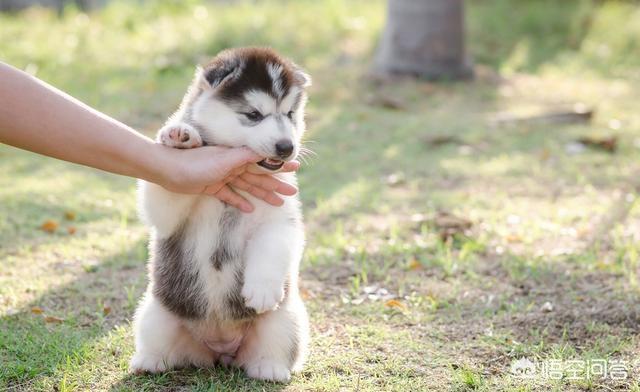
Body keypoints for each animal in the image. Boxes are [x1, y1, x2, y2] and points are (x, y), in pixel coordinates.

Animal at [130, 47, 310, 382]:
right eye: (254, 115)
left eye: (290, 114)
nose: (286, 147)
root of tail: (221, 348)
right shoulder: (169, 215)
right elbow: (165, 198)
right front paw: (181, 137)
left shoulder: (280, 217)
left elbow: (272, 245)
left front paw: (261, 289)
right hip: (154, 313)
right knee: (158, 343)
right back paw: (149, 361)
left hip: (287, 319)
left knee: (275, 346)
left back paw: (270, 368)